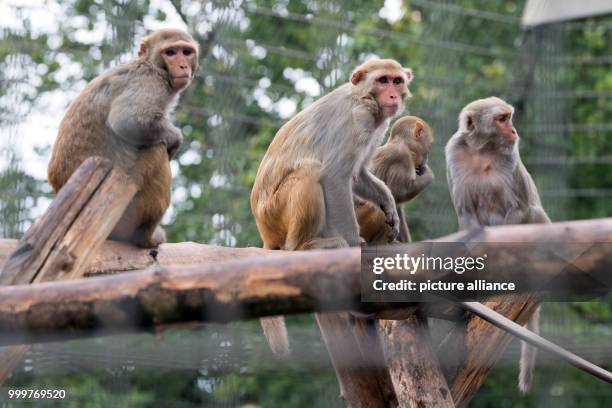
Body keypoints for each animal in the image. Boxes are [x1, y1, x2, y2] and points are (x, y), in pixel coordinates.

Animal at [50, 28, 200, 247]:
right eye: (170, 52)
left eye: (186, 52)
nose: (182, 65)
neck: (152, 65)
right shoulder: (149, 81)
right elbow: (127, 120)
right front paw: (175, 138)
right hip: (124, 214)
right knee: (157, 148)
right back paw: (146, 236)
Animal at [251, 58, 414, 356]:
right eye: (383, 80)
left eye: (397, 81)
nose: (393, 96)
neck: (363, 97)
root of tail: (263, 229)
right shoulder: (359, 120)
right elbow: (335, 177)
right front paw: (354, 250)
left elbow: (358, 174)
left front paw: (388, 204)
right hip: (274, 213)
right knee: (311, 172)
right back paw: (305, 248)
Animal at [354, 115, 436, 244]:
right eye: (428, 147)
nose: (426, 159)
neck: (401, 143)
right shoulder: (402, 158)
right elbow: (397, 194)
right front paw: (428, 174)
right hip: (361, 221)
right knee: (382, 209)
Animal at [444, 97, 548, 394]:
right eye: (502, 119)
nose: (513, 131)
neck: (483, 151)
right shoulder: (454, 154)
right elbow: (467, 215)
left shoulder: (510, 159)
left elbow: (519, 209)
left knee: (534, 212)